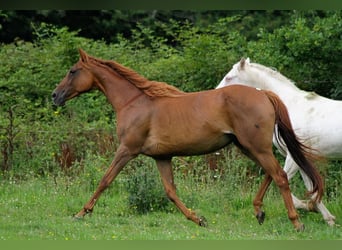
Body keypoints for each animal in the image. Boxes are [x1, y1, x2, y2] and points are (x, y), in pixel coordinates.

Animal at [51, 49, 324, 231]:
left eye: (72, 71)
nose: (55, 96)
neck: (135, 103)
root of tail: (264, 94)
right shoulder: (162, 157)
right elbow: (170, 191)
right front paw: (198, 219)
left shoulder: (127, 149)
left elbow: (105, 180)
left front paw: (81, 213)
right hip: (248, 147)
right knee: (271, 174)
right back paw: (259, 211)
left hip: (256, 147)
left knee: (279, 176)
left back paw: (296, 223)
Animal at [215, 57, 338, 226]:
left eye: (229, 77)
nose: (215, 93)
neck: (290, 107)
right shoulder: (301, 157)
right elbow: (311, 187)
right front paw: (327, 218)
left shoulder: (292, 157)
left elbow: (282, 179)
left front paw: (305, 207)